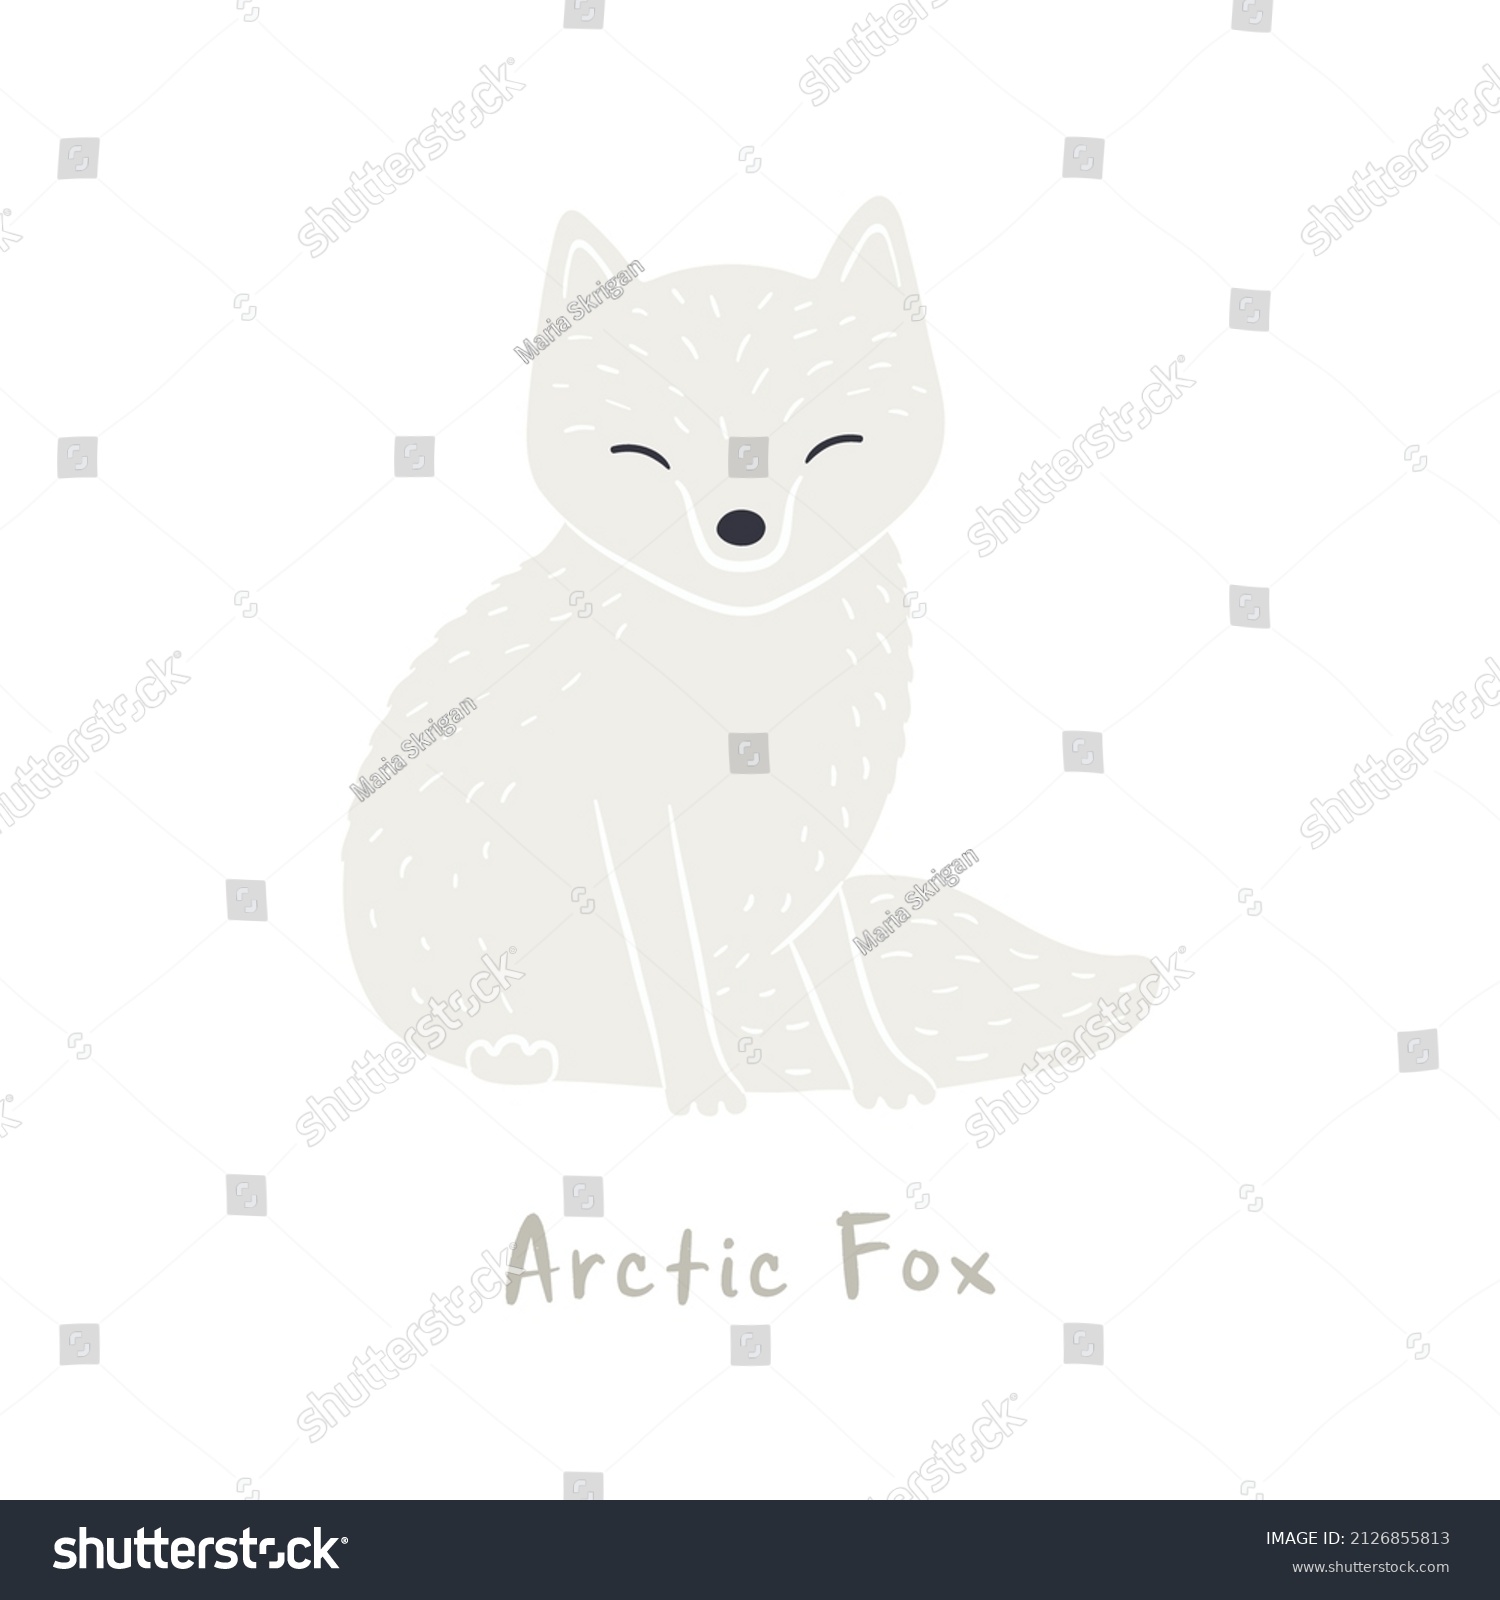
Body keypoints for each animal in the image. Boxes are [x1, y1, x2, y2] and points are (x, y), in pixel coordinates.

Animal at [342, 198, 1155, 1113]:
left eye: (833, 443)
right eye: (643, 453)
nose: (741, 527)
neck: (744, 666)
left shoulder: (820, 822)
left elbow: (841, 971)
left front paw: (878, 1073)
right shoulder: (636, 826)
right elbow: (673, 971)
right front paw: (701, 1084)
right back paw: (527, 1050)